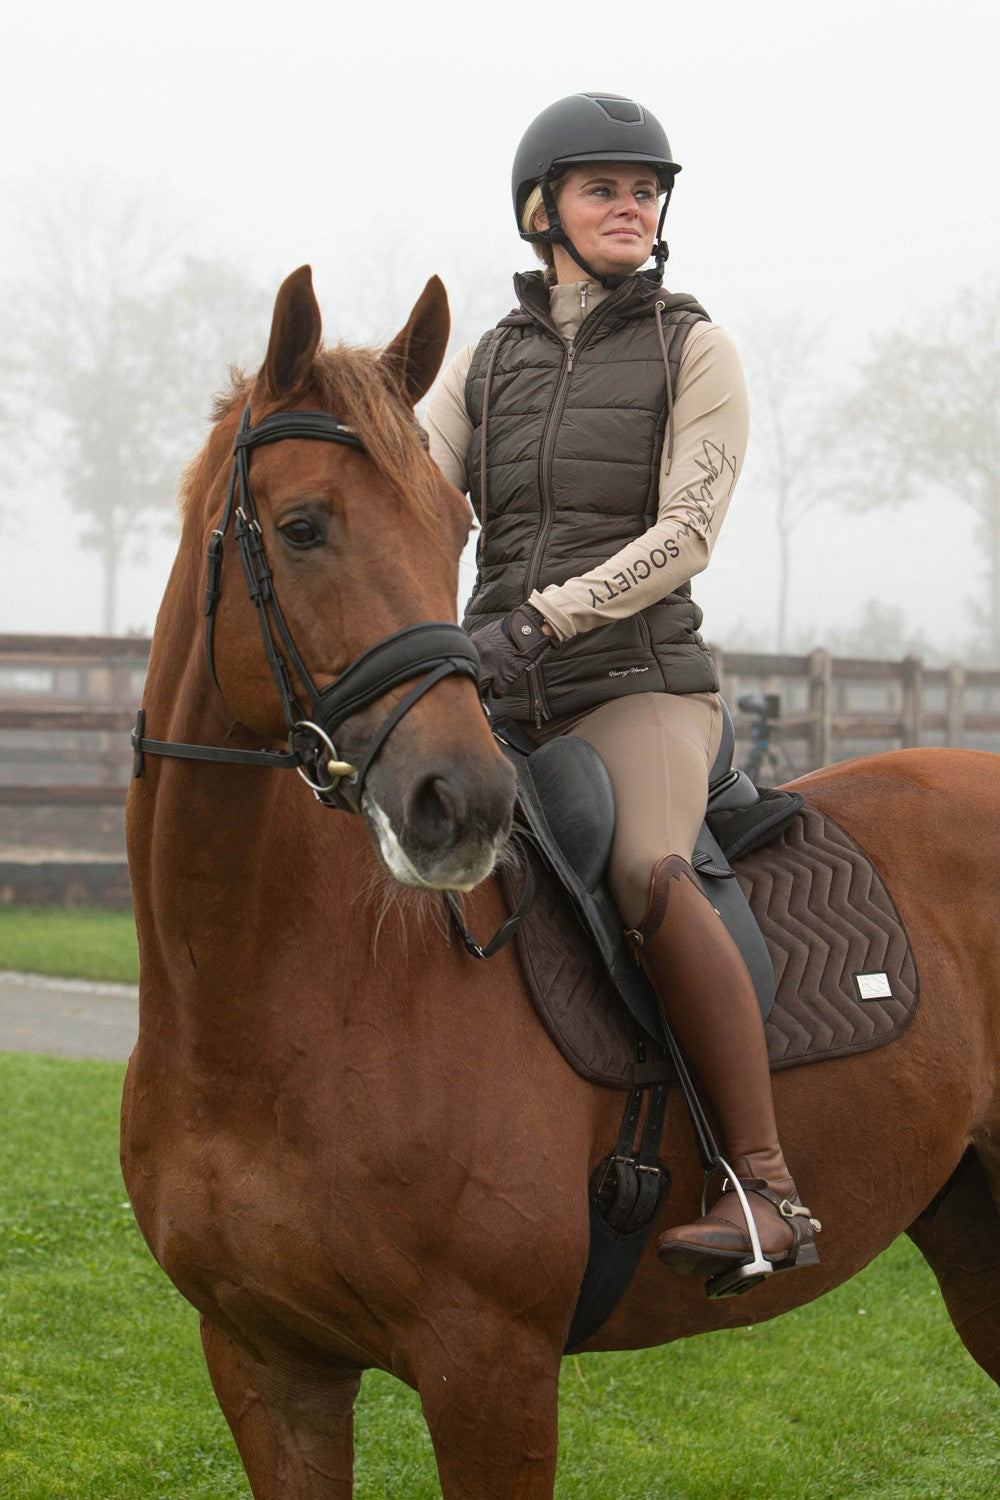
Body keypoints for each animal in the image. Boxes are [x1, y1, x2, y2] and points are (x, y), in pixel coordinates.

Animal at [122, 265, 1000, 1499]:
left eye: (451, 528)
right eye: (302, 528)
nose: (464, 802)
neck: (273, 1008)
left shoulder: (490, 1367)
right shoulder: (264, 1362)